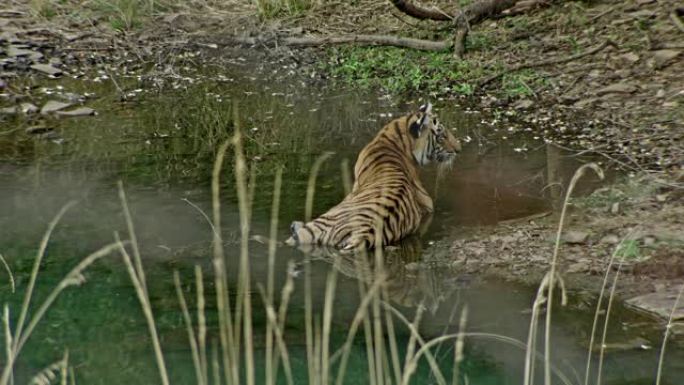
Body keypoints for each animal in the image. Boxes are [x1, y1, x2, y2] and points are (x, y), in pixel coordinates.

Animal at [284, 102, 460, 250]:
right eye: (442, 136)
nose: (459, 149)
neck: (395, 139)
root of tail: (363, 236)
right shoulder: (426, 205)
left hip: (314, 228)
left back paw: (294, 225)